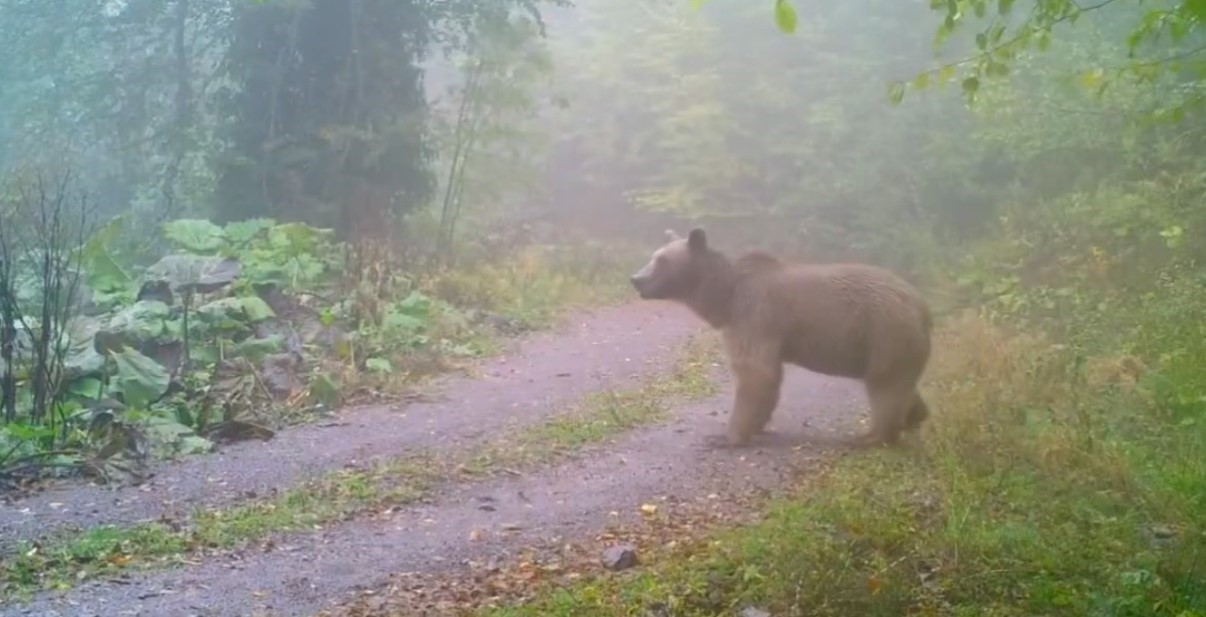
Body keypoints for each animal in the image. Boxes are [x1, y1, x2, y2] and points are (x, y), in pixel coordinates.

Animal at [631, 228, 931, 450]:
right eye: (653, 256)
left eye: (662, 260)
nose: (636, 278)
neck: (725, 296)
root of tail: (922, 306)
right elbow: (767, 378)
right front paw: (757, 426)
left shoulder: (754, 315)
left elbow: (755, 372)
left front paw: (726, 436)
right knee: (900, 384)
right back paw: (915, 417)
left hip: (885, 332)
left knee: (885, 386)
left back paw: (871, 436)